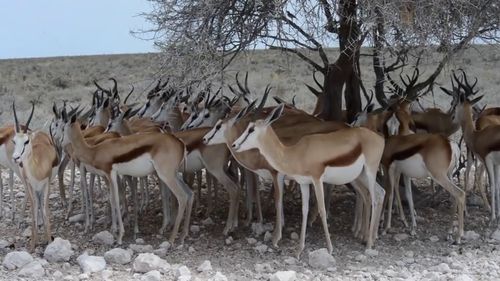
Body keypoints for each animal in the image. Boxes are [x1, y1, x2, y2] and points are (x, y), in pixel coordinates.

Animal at [11, 101, 59, 249]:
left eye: (26, 141)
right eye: (14, 141)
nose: (16, 158)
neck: (37, 168)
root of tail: (39, 132)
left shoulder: (47, 183)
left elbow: (45, 209)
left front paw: (49, 241)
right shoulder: (30, 184)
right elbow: (33, 210)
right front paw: (33, 243)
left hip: (42, 187)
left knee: (41, 205)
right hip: (35, 188)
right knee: (37, 204)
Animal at [231, 104, 386, 255]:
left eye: (251, 129)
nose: (234, 145)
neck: (296, 153)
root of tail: (379, 137)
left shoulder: (317, 180)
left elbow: (322, 210)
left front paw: (330, 248)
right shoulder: (303, 183)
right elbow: (304, 210)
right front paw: (299, 250)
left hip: (370, 172)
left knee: (374, 199)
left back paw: (369, 244)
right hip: (361, 176)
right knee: (380, 192)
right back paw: (371, 239)